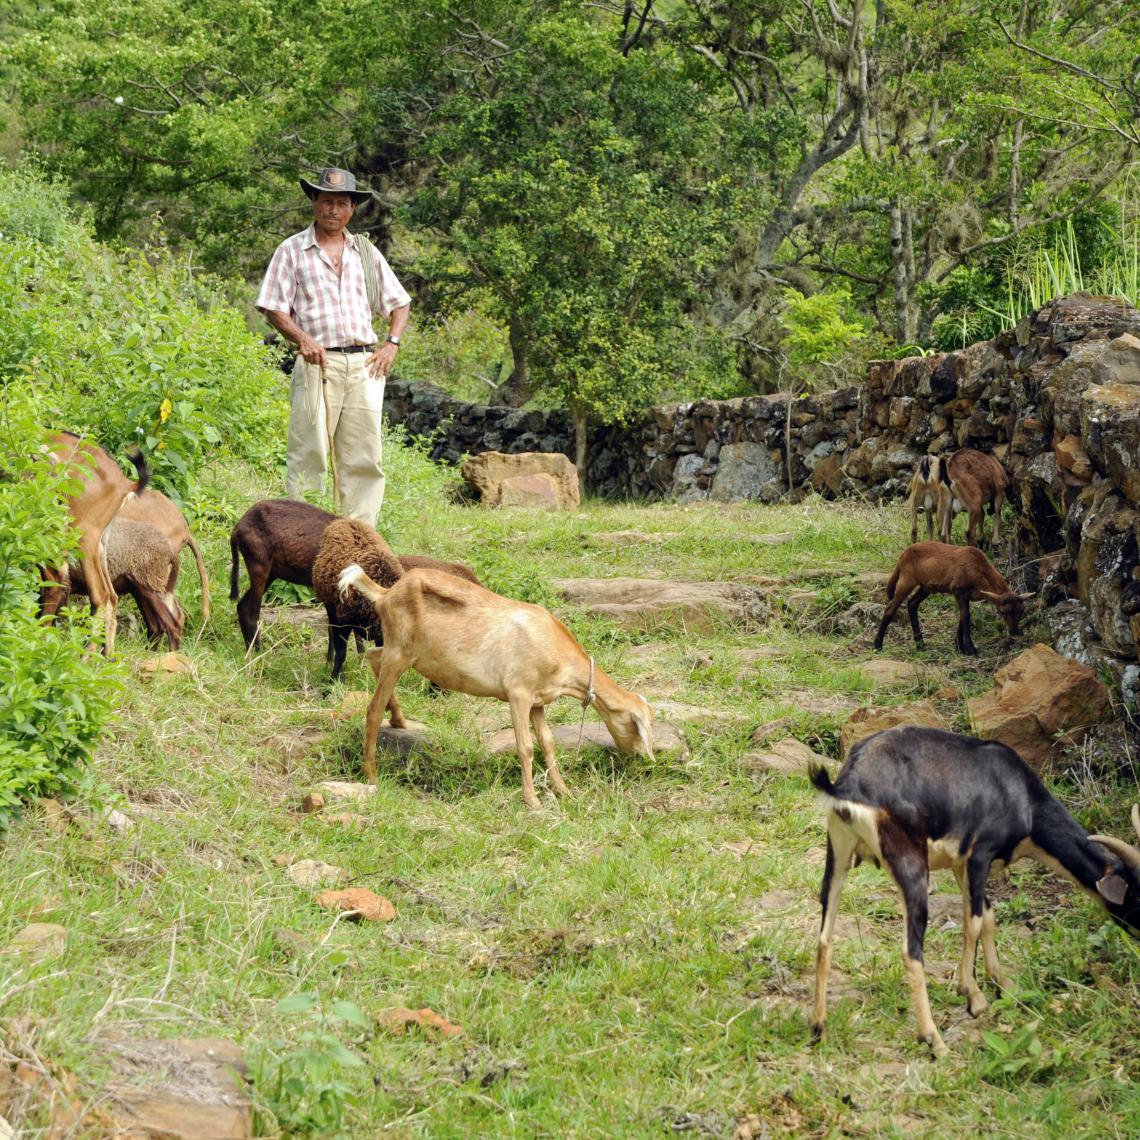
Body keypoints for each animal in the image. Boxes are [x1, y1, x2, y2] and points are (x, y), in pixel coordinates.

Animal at [39, 432, 149, 654]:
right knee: (112, 597)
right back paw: (106, 656)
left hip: (84, 538)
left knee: (101, 595)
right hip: (99, 545)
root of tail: (125, 483)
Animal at [337, 563, 656, 811]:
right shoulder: (518, 694)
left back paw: (398, 719)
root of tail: (385, 594)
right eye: (636, 726)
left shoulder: (538, 702)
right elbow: (525, 747)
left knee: (373, 656)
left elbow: (548, 744)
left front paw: (564, 792)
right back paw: (372, 775)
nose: (638, 756)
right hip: (399, 653)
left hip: (404, 653)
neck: (553, 645)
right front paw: (532, 801)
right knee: (372, 710)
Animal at [809, 725, 1140, 1057]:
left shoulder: (961, 863)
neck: (1021, 796)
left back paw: (818, 1030)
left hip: (838, 854)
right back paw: (934, 1040)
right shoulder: (980, 854)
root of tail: (850, 784)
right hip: (911, 866)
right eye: (1137, 893)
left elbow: (987, 917)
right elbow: (974, 923)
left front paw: (1003, 986)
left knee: (825, 939)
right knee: (910, 950)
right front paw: (972, 997)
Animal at [873, 542, 1031, 656]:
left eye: (1021, 612)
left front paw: (960, 647)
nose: (1015, 631)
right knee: (890, 608)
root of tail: (903, 554)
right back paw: (877, 645)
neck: (978, 571)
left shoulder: (967, 595)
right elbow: (966, 616)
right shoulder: (958, 589)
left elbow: (963, 616)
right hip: (907, 580)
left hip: (926, 586)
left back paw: (920, 644)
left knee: (912, 604)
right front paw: (970, 649)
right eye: (1004, 612)